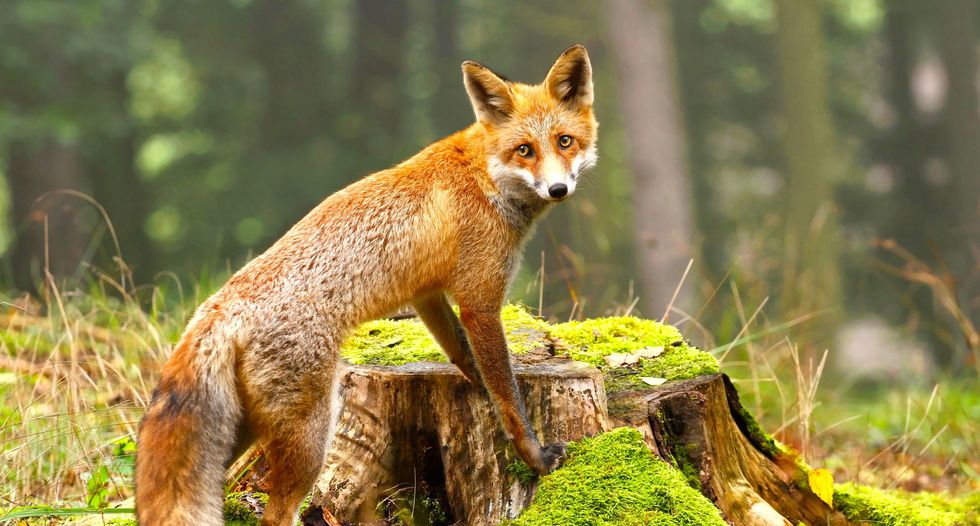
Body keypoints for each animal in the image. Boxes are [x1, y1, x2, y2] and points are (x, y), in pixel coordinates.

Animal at [135, 45, 598, 526]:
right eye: (525, 150)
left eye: (565, 141)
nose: (558, 188)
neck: (485, 174)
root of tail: (220, 306)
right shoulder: (480, 301)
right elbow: (509, 398)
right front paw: (535, 456)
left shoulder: (427, 296)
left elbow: (465, 357)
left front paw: (481, 388)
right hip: (310, 436)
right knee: (276, 514)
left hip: (242, 431)